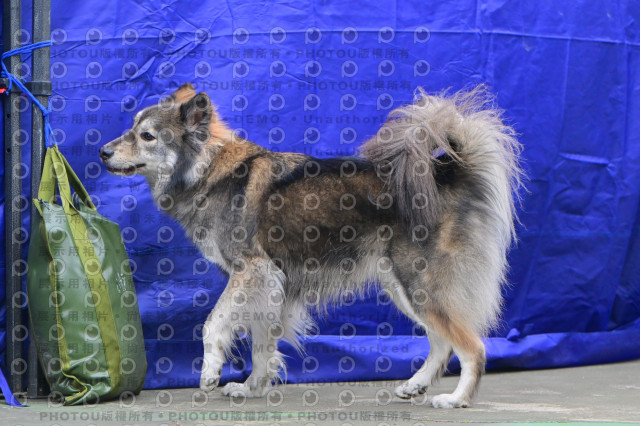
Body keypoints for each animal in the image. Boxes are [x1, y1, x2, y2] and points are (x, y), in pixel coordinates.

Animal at [99, 82, 522, 408]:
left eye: (147, 136)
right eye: (132, 128)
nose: (102, 151)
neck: (209, 170)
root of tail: (443, 172)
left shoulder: (250, 271)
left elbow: (213, 323)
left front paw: (210, 372)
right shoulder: (268, 283)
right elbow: (261, 344)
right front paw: (252, 388)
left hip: (421, 285)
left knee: (472, 347)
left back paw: (457, 399)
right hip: (403, 286)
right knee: (442, 342)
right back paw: (415, 385)